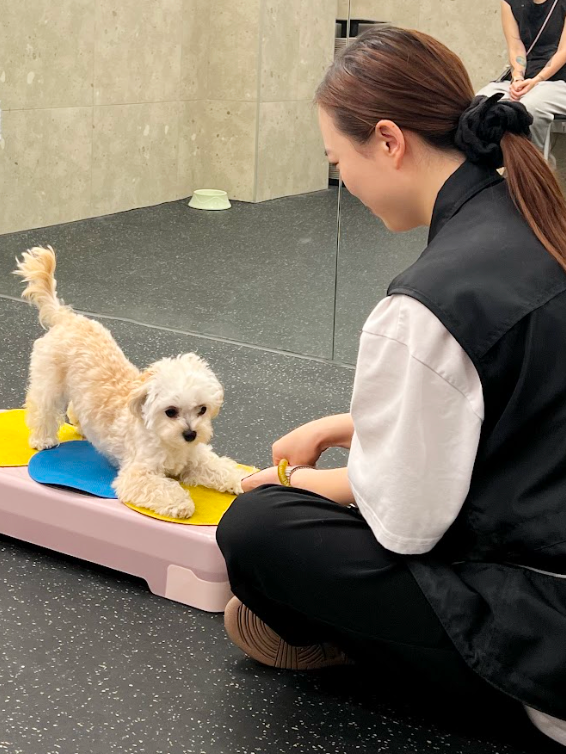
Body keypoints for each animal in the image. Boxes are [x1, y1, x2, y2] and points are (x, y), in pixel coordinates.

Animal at [14, 246, 247, 518]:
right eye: (170, 411)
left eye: (202, 409)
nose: (191, 434)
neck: (168, 441)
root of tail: (67, 318)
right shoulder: (138, 474)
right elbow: (162, 488)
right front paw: (181, 503)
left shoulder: (197, 458)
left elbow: (219, 467)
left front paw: (237, 479)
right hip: (48, 382)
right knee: (43, 409)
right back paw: (43, 439)